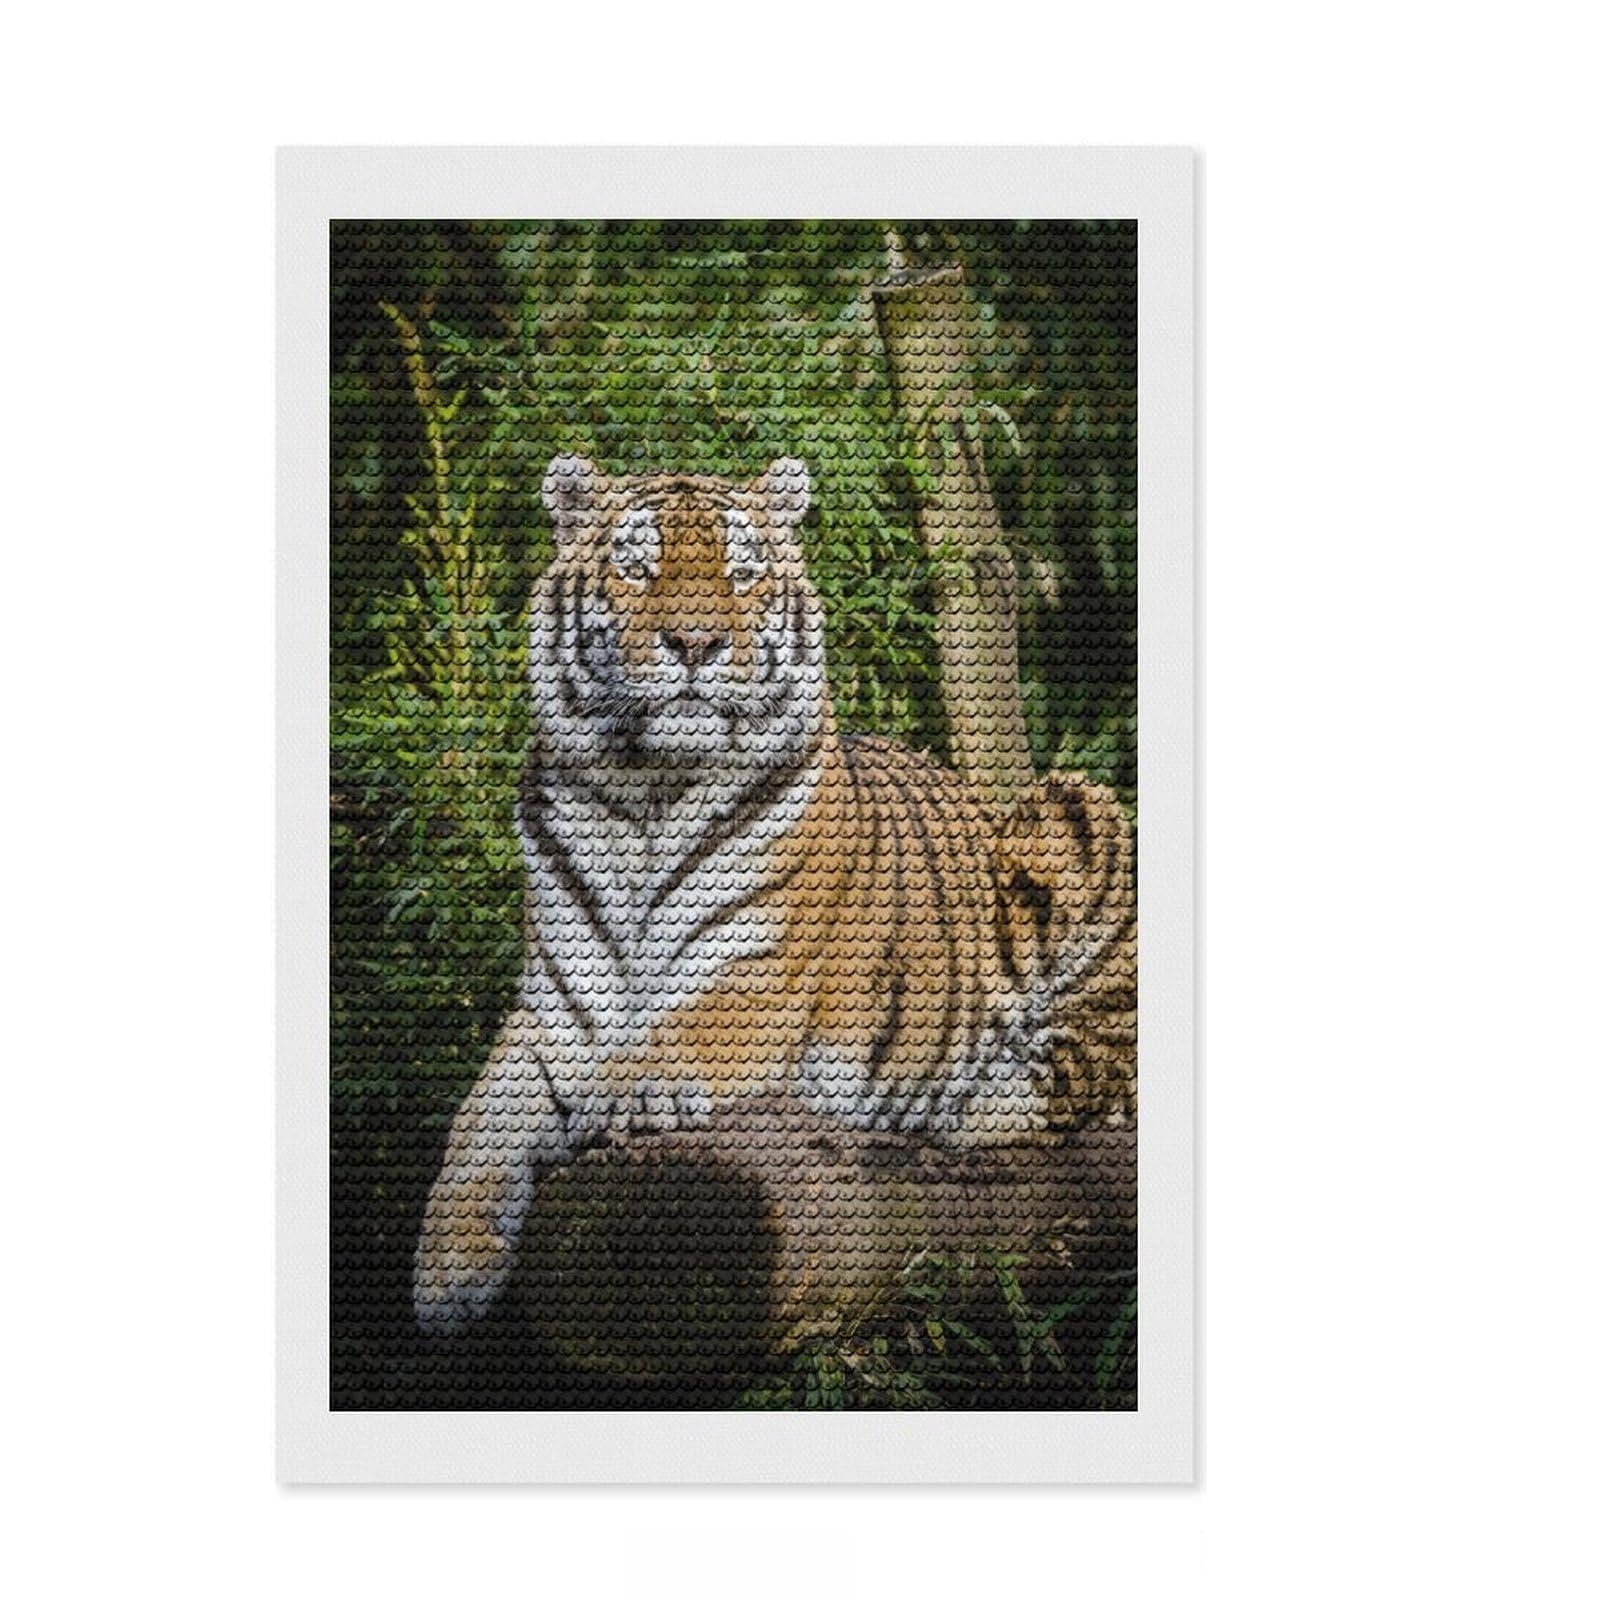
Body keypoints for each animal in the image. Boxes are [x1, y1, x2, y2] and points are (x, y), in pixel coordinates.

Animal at [413, 454, 1136, 1329]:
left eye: (742, 571)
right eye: (637, 566)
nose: (695, 641)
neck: (642, 797)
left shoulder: (760, 979)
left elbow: (678, 1034)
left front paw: (620, 1090)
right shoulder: (555, 1008)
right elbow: (476, 1124)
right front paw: (447, 1271)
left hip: (1078, 813)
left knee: (1091, 1074)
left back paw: (968, 1102)